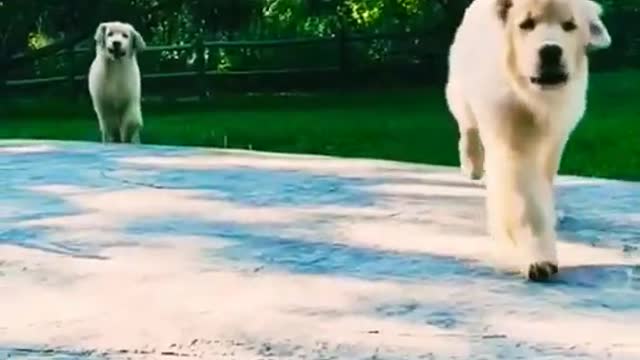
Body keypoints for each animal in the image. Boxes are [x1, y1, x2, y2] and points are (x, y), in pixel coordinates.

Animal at [444, 0, 608, 282]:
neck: (533, 98)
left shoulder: (555, 135)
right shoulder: (510, 137)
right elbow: (525, 200)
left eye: (569, 25)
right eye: (526, 24)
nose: (550, 51)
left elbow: (543, 181)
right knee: (467, 123)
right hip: (460, 86)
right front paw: (538, 258)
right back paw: (472, 164)